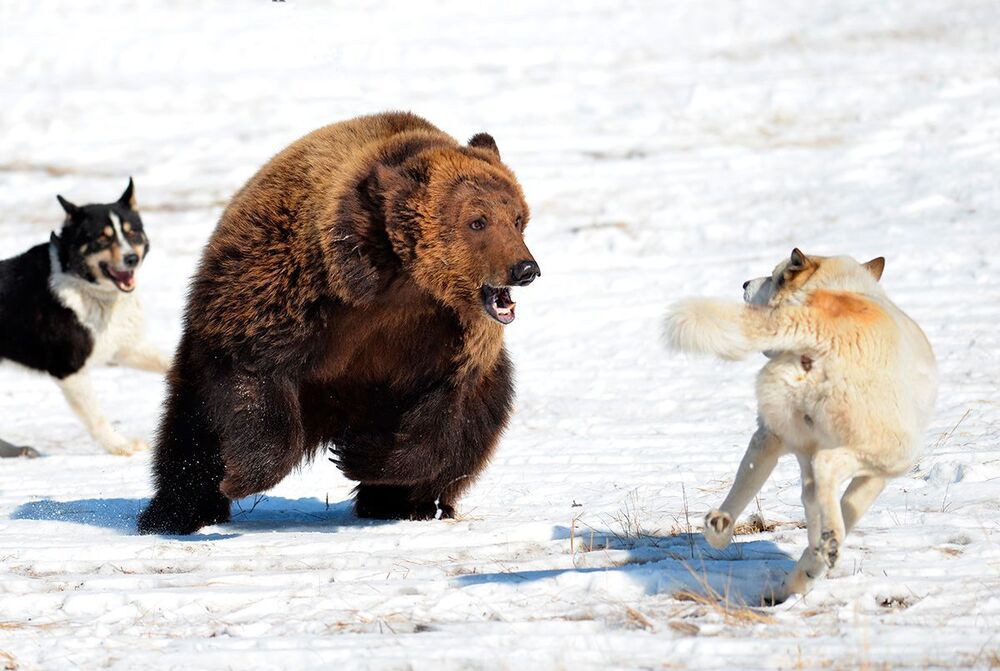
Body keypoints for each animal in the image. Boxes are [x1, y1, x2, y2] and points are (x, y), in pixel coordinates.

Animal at [138, 112, 540, 535]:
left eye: (517, 218)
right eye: (477, 221)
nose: (525, 269)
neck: (399, 282)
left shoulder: (449, 339)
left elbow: (444, 419)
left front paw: (360, 455)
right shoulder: (291, 293)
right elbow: (255, 377)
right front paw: (237, 477)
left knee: (479, 427)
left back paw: (402, 503)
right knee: (192, 426)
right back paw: (175, 512)